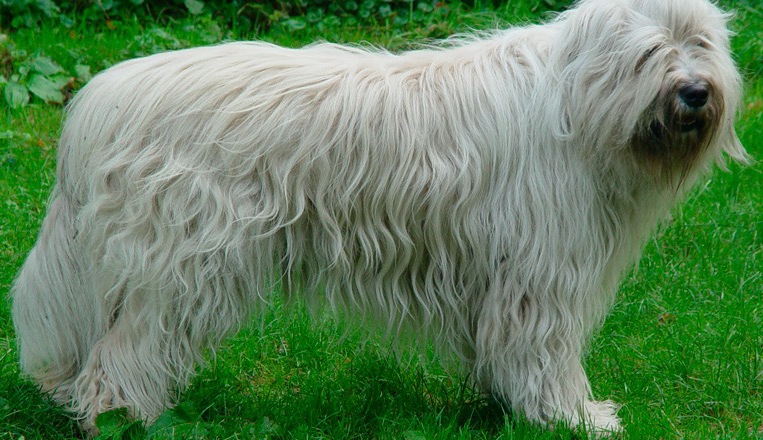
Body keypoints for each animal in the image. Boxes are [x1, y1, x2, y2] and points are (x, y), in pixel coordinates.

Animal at [10, 0, 748, 434]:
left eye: (702, 44)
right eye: (651, 51)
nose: (693, 92)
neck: (576, 101)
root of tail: (99, 101)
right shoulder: (539, 273)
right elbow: (544, 348)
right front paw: (570, 416)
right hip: (181, 263)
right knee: (126, 351)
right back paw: (121, 416)